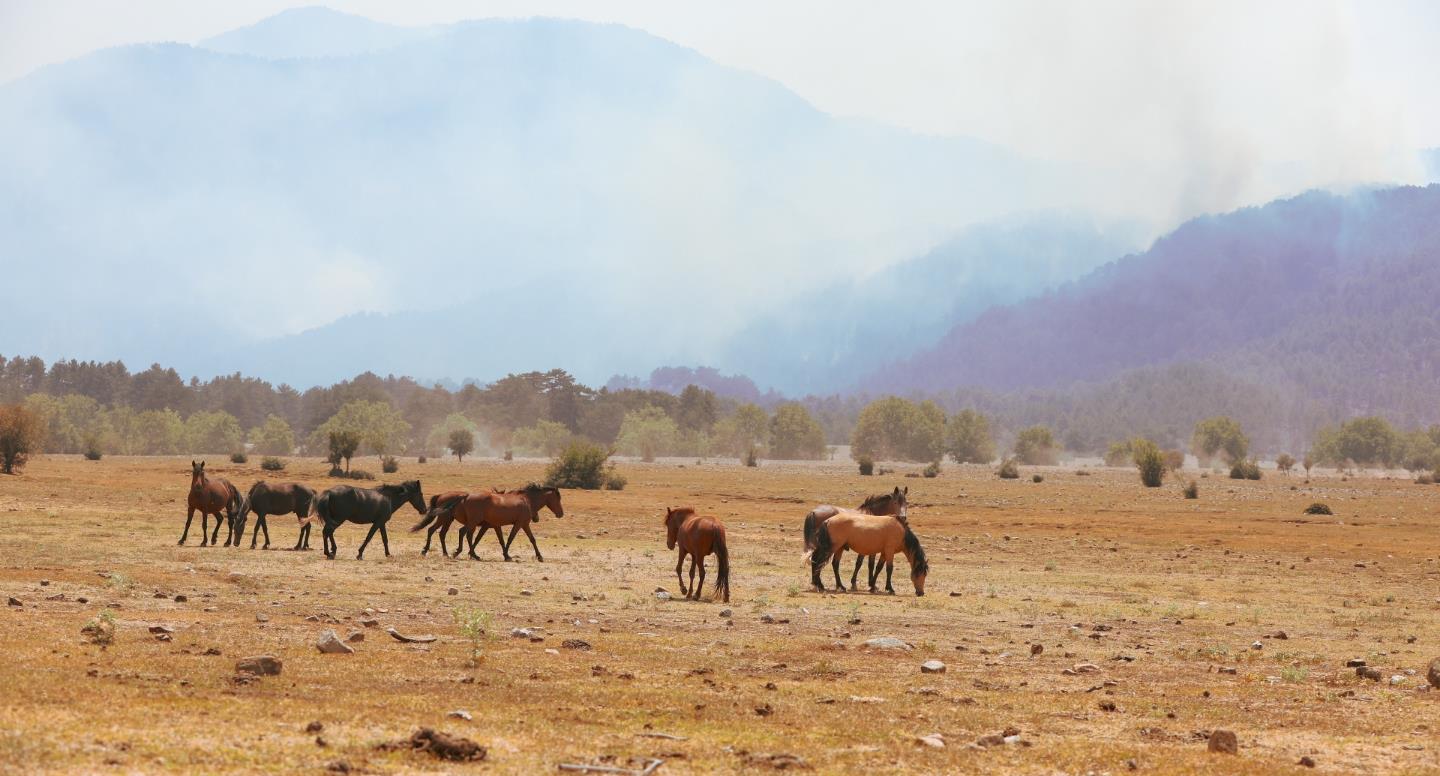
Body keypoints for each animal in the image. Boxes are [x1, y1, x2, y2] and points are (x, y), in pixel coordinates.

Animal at [411, 483, 561, 561]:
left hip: (450, 520)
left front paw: (505, 555)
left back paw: (450, 553)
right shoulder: (521, 524)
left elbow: (497, 540)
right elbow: (523, 539)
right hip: (456, 520)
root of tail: (465, 496)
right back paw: (454, 552)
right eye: (558, 499)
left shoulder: (493, 526)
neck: (525, 500)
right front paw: (538, 556)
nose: (561, 513)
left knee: (443, 533)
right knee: (458, 532)